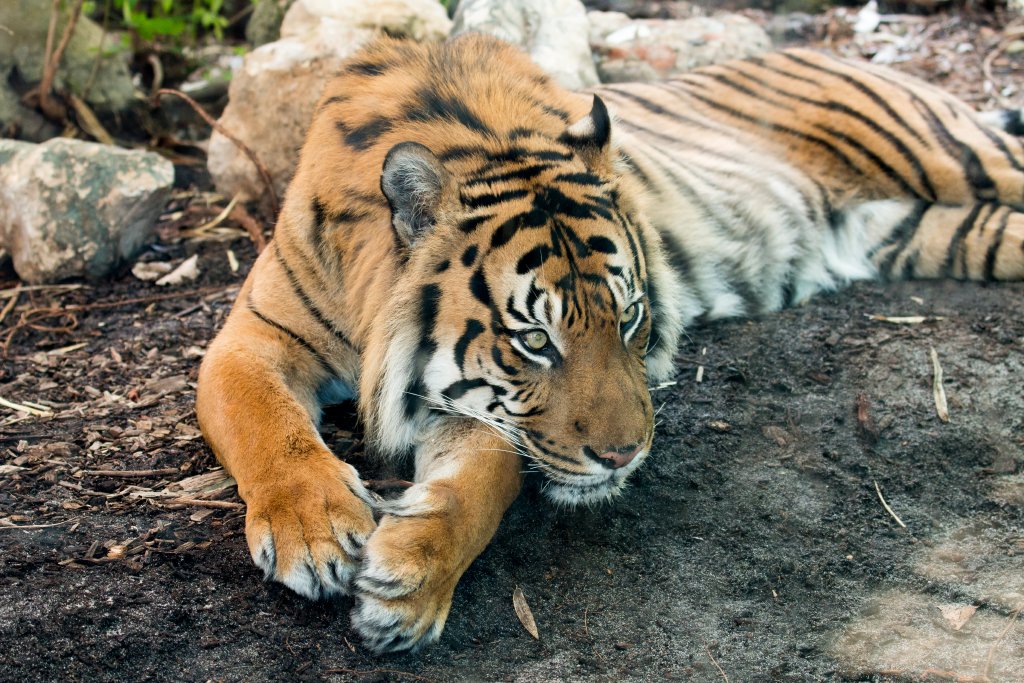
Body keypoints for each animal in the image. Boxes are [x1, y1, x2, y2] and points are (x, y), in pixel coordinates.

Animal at [195, 33, 1024, 654]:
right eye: (534, 338)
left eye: (630, 317)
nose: (625, 456)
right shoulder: (251, 337)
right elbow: (265, 420)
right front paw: (315, 532)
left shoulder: (485, 410)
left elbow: (481, 485)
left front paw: (407, 584)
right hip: (926, 232)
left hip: (953, 157)